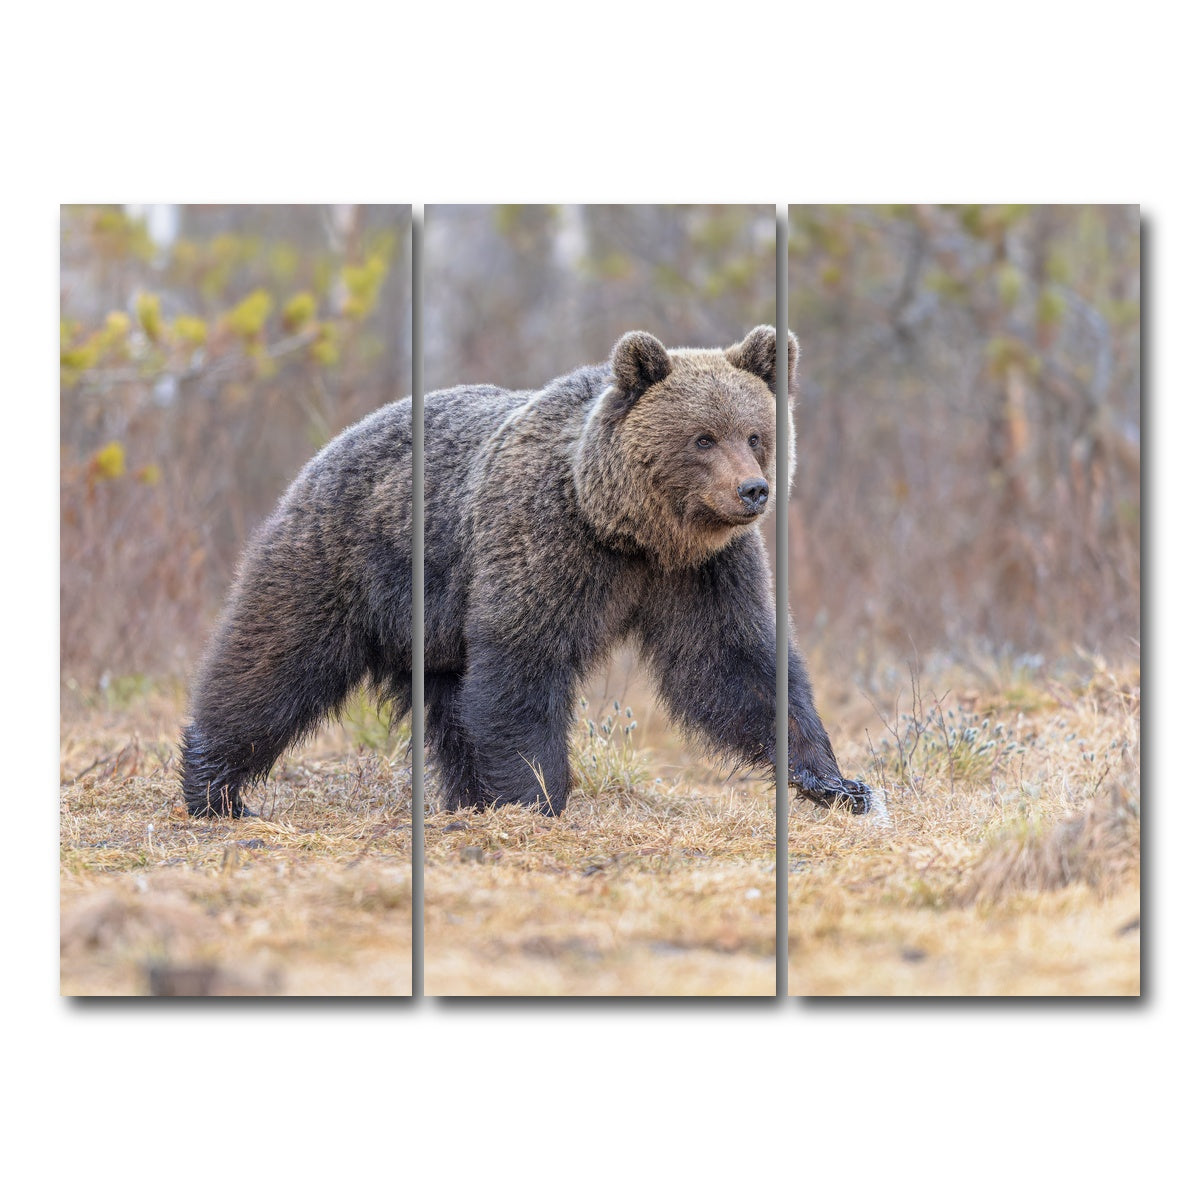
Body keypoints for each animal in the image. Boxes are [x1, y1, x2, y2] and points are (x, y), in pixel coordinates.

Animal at [180, 326, 870, 818]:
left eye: (754, 435)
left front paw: (836, 781)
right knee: (273, 662)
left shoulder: (704, 571)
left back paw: (466, 799)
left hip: (434, 625)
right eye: (703, 437)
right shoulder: (546, 543)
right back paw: (216, 789)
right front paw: (538, 796)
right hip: (345, 559)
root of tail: (335, 442)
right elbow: (524, 663)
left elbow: (736, 664)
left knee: (450, 704)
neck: (629, 530)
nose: (752, 491)